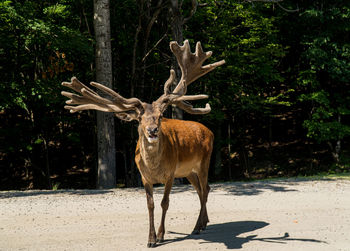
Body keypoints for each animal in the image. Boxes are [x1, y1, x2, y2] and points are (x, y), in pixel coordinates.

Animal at [61, 39, 226, 247]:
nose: (152, 130)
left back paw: (197, 227)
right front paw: (150, 239)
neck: (155, 167)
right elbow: (150, 205)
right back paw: (203, 223)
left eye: (161, 116)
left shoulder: (171, 173)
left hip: (204, 161)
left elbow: (165, 203)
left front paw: (161, 236)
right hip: (188, 170)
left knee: (205, 189)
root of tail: (209, 131)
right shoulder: (144, 177)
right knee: (202, 189)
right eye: (139, 119)